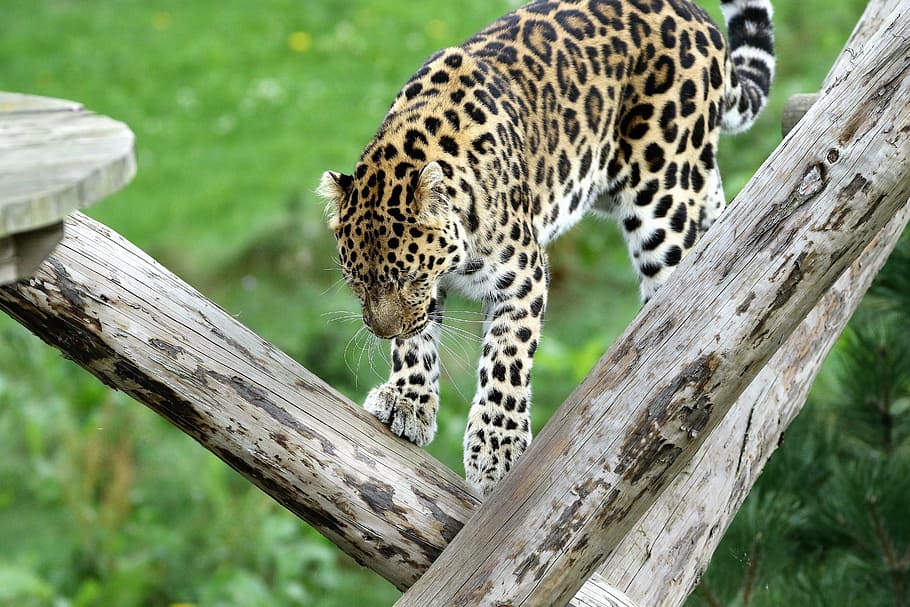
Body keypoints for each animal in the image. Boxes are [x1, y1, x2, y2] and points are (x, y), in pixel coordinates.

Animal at [319, 0, 774, 497]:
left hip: (663, 195)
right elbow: (416, 341)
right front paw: (407, 401)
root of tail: (698, 16)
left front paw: (495, 448)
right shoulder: (429, 296)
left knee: (682, 280)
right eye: (356, 283)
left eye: (409, 278)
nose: (380, 332)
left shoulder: (522, 274)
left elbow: (506, 358)